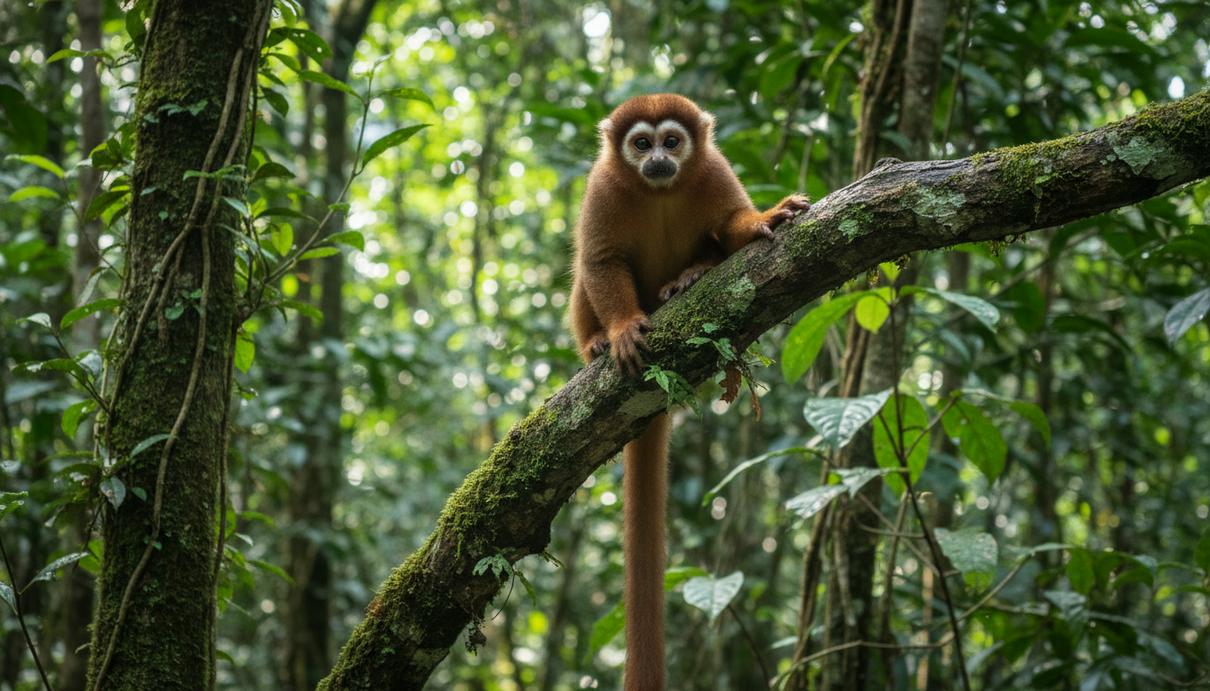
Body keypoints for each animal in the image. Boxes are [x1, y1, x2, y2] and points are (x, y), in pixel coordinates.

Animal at [568, 94, 809, 690]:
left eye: (672, 142)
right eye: (641, 144)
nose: (657, 160)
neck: (660, 191)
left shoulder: (713, 169)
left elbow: (731, 225)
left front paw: (765, 219)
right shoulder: (601, 186)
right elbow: (600, 260)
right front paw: (621, 330)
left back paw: (691, 277)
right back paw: (595, 345)